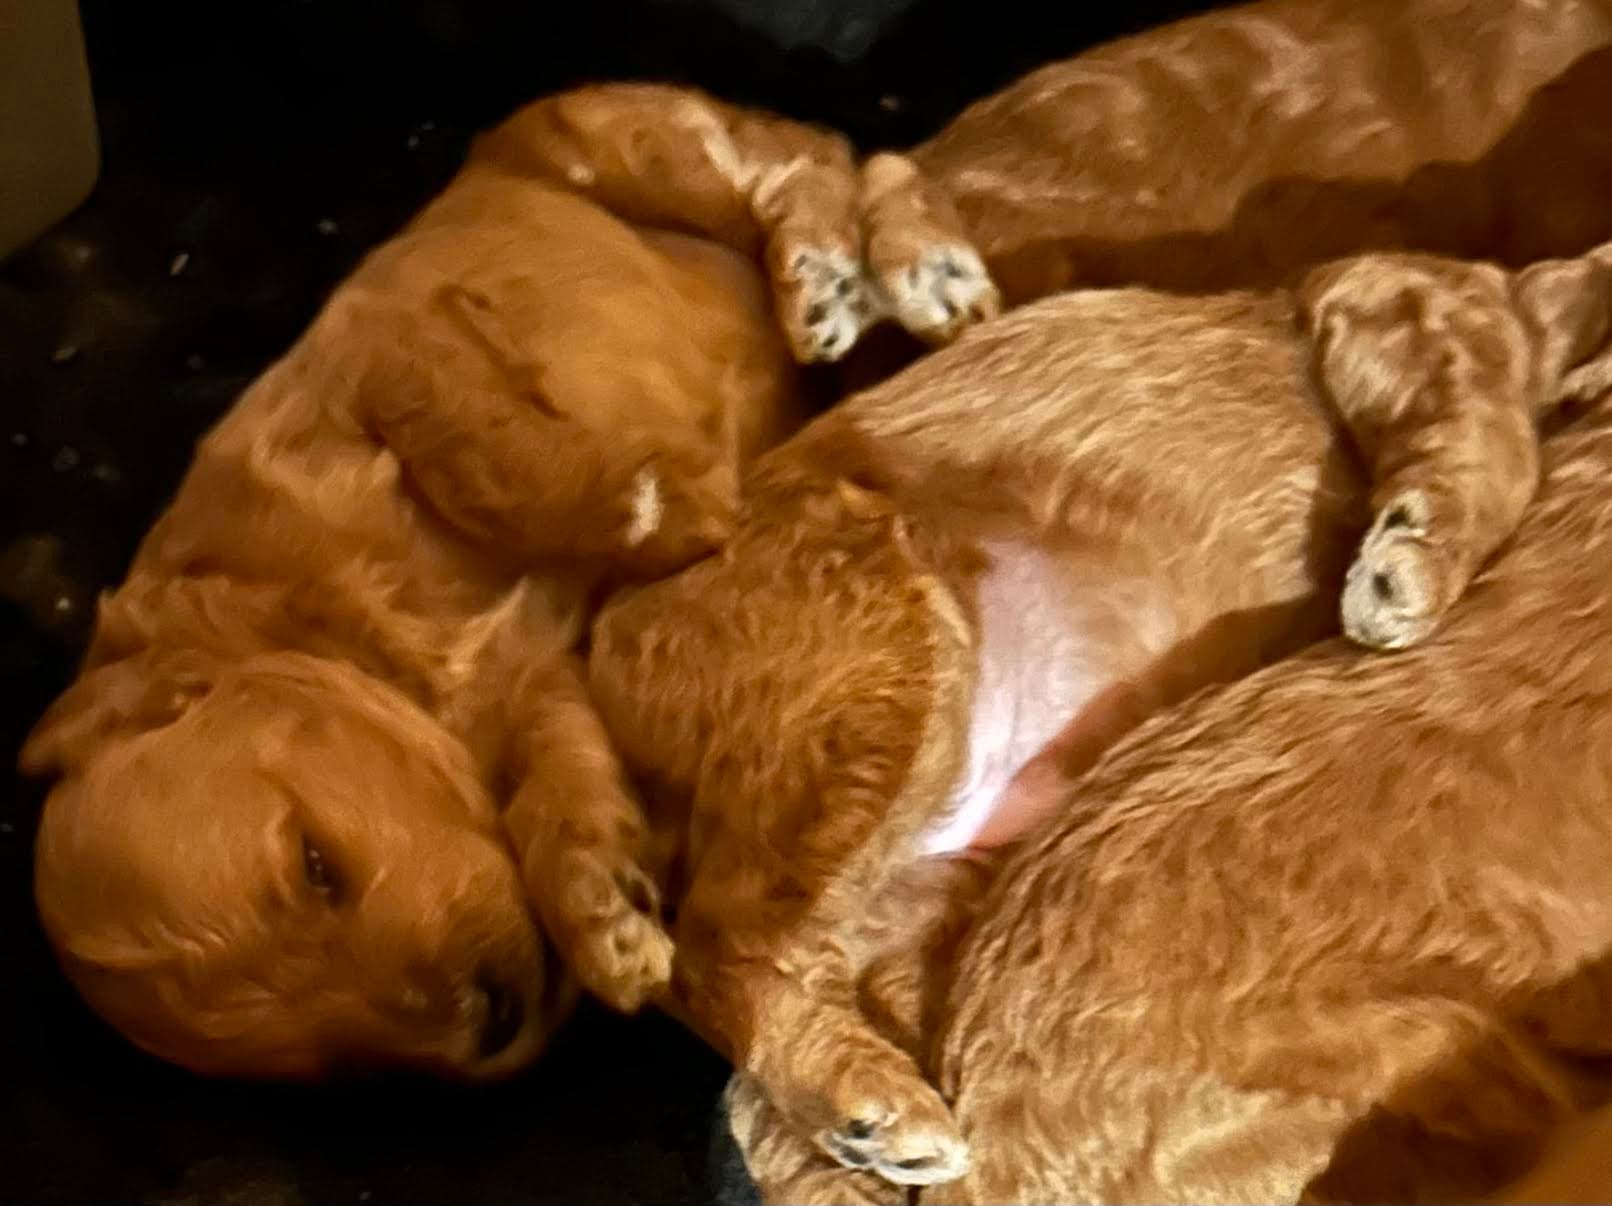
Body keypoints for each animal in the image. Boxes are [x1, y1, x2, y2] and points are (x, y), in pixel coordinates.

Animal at [15, 87, 967, 1083]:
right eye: (332, 1062)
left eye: (315, 865)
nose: (496, 1022)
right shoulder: (544, 684)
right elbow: (562, 790)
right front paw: (605, 920)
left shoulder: (376, 356)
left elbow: (467, 442)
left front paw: (665, 506)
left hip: (624, 147)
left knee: (811, 158)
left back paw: (869, 274)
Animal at [589, 238, 1612, 1186]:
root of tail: (604, 644)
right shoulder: (1396, 302)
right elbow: (1483, 438)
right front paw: (1408, 572)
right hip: (878, 660)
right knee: (709, 945)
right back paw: (865, 1101)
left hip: (939, 856)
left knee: (791, 957)